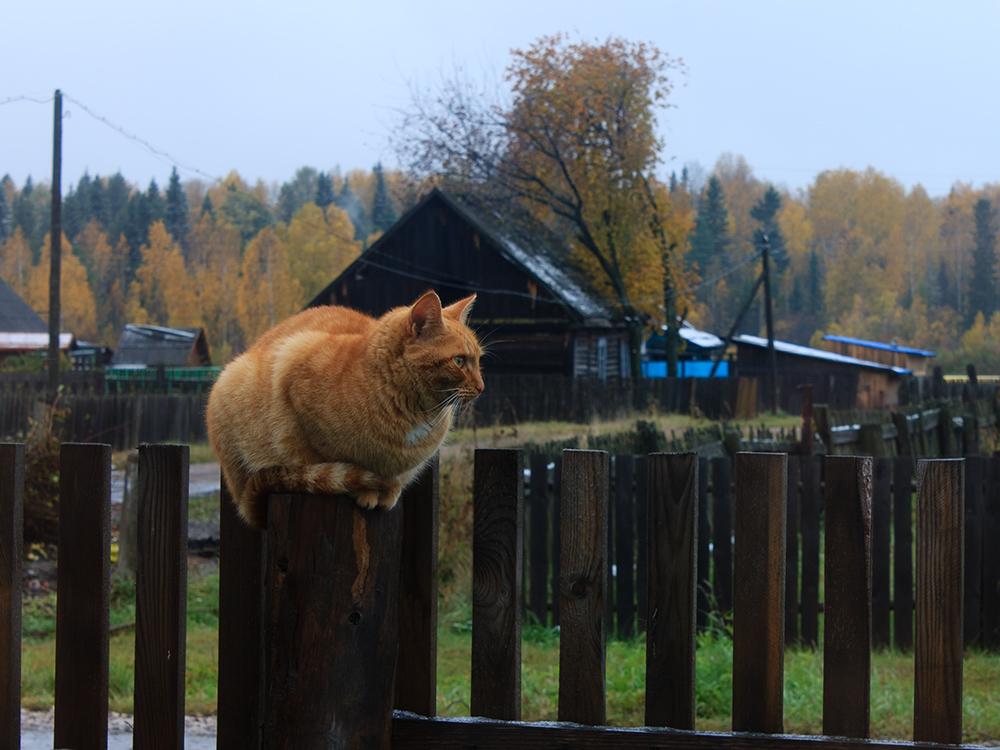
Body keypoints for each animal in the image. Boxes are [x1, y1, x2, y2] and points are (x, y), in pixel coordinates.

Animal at [205, 290, 482, 532]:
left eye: (478, 361)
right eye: (459, 361)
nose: (482, 386)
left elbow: (395, 478)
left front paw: (389, 491)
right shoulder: (293, 366)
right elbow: (331, 459)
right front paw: (366, 489)